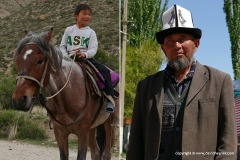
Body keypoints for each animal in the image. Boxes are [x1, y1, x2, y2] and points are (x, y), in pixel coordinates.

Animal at [11, 28, 118, 160]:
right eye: (18, 60)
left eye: (40, 61)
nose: (19, 99)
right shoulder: (60, 133)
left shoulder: (83, 132)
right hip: (93, 128)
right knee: (96, 152)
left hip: (110, 123)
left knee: (106, 153)